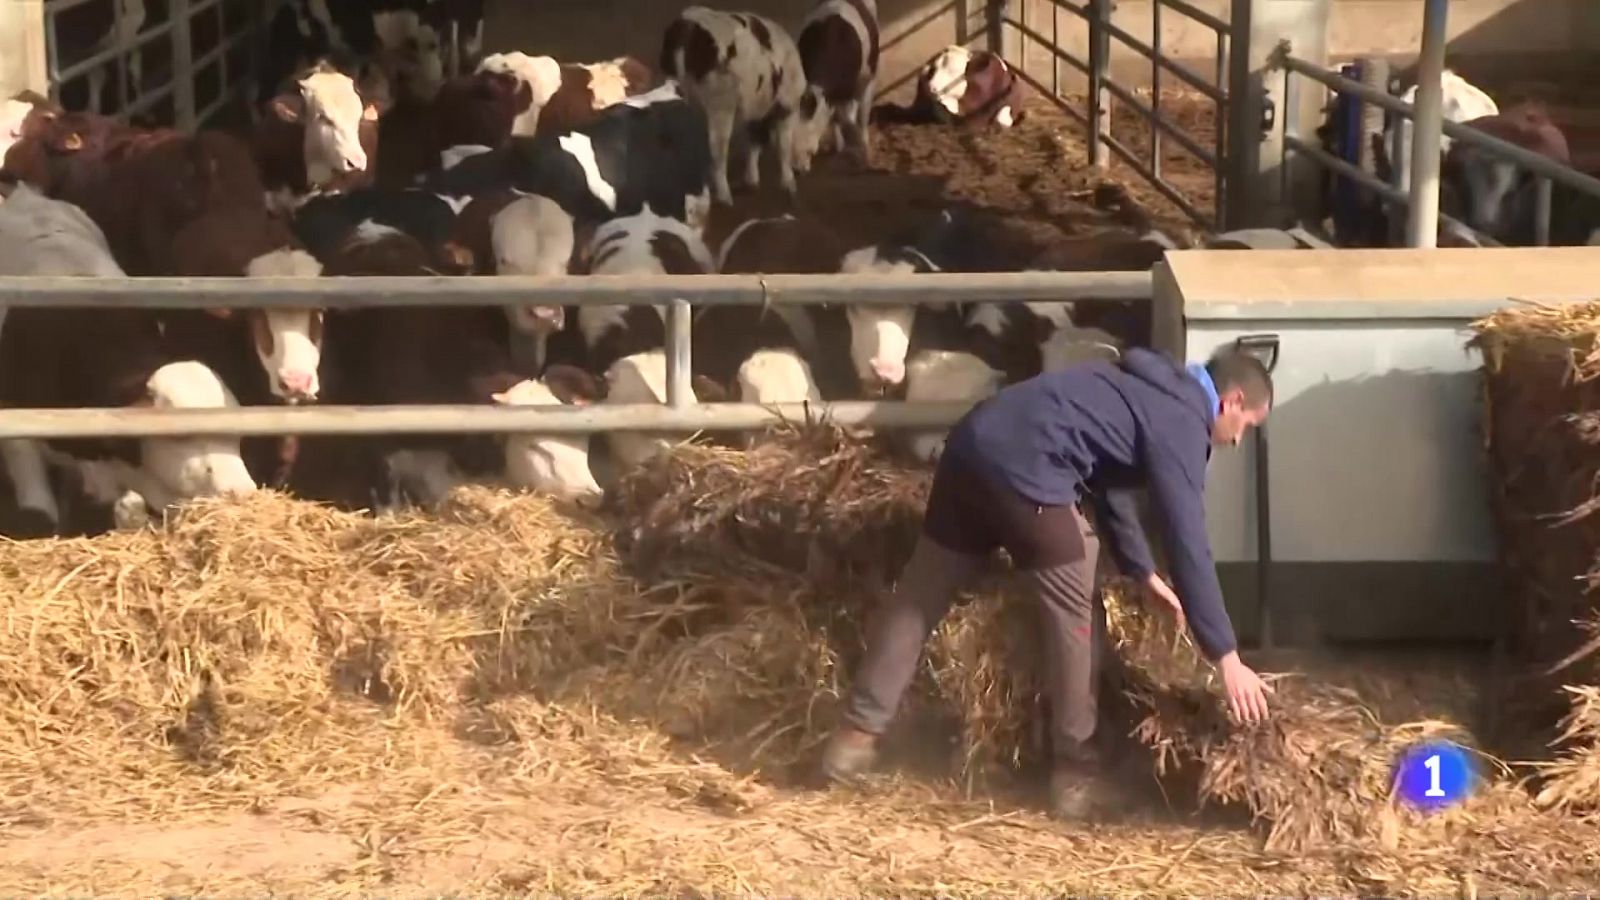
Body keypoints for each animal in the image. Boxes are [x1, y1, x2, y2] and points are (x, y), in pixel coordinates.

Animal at [662, 6, 838, 204]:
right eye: (817, 127)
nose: (805, 169)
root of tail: (689, 22)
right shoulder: (785, 107)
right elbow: (783, 145)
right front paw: (788, 182)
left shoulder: (759, 107)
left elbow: (755, 140)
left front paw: (752, 180)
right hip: (721, 104)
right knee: (718, 150)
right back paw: (724, 196)